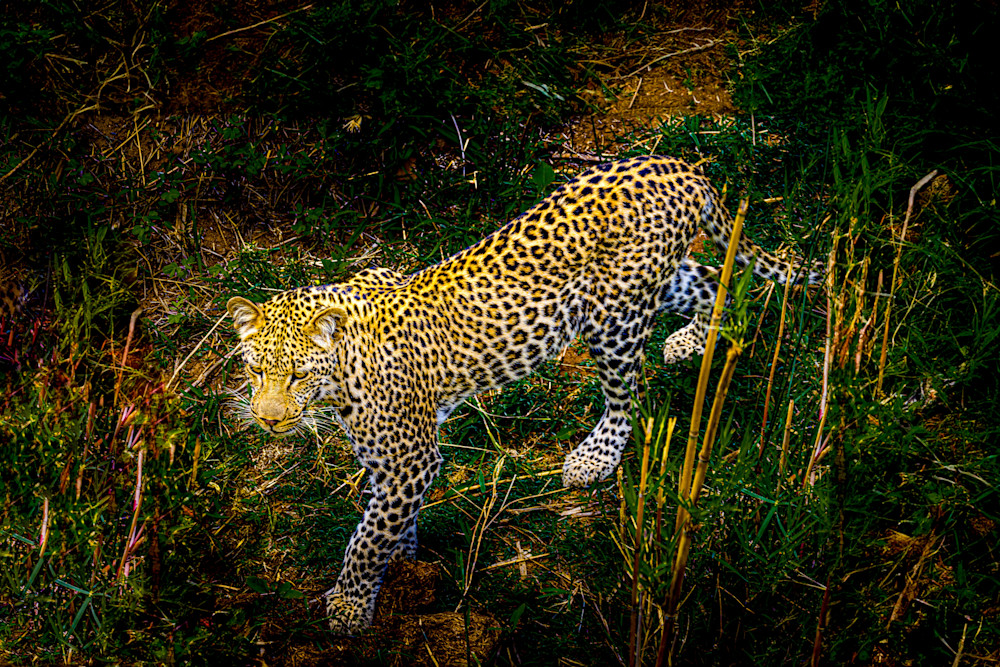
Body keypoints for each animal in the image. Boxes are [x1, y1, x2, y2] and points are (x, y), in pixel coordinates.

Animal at [226, 155, 823, 633]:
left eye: (296, 376)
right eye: (254, 371)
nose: (269, 420)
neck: (343, 370)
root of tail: (675, 165)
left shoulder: (411, 459)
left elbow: (368, 537)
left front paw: (351, 605)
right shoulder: (388, 461)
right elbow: (389, 523)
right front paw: (406, 573)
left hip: (615, 318)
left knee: (624, 398)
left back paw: (596, 456)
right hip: (656, 282)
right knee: (712, 282)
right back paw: (700, 338)